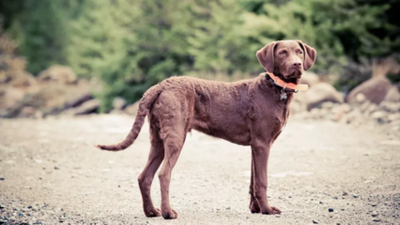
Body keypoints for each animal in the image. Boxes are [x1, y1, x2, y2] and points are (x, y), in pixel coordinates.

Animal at [96, 39, 316, 219]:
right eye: (282, 53)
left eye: (299, 52)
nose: (297, 64)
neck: (276, 89)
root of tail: (161, 85)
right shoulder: (262, 143)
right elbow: (262, 181)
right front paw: (267, 210)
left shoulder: (256, 146)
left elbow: (253, 180)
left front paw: (256, 208)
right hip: (176, 137)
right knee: (164, 174)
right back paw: (168, 213)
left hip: (157, 139)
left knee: (145, 177)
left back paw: (151, 212)